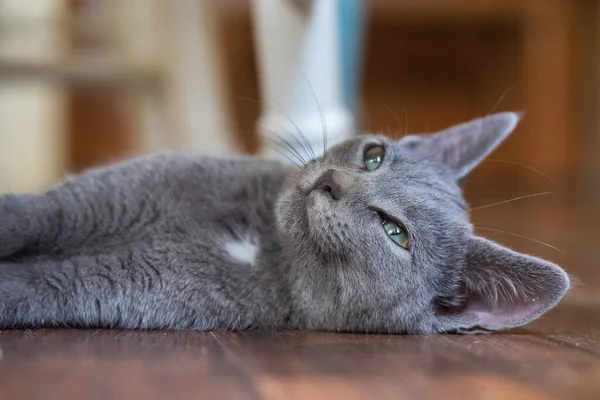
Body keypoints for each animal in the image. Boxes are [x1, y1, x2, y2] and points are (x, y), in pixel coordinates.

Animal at [0, 112, 568, 334]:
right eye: (374, 157)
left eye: (395, 233)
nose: (332, 183)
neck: (259, 236)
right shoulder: (96, 201)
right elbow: (30, 214)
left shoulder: (125, 282)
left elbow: (34, 286)